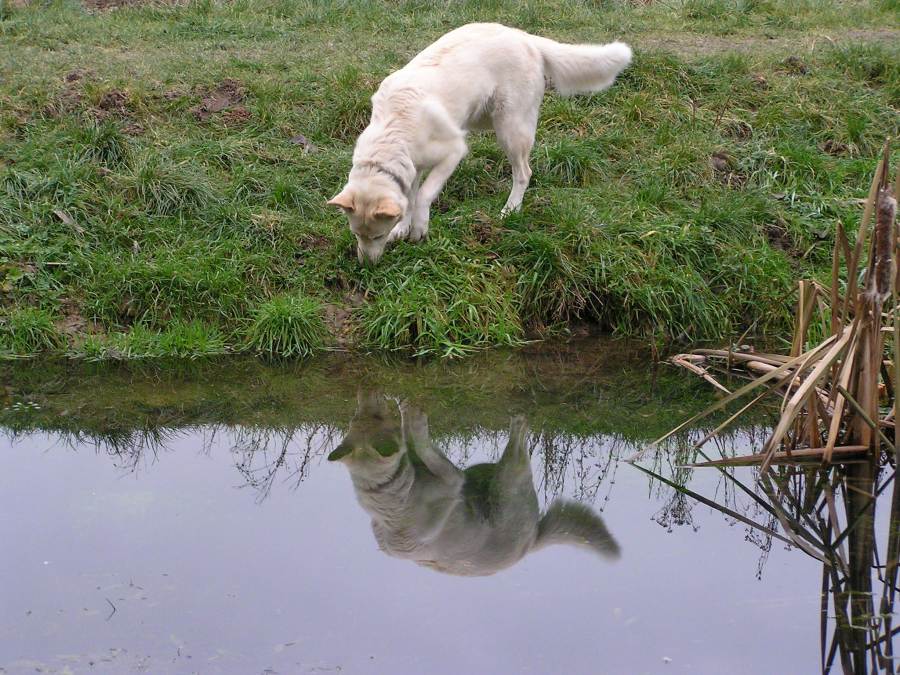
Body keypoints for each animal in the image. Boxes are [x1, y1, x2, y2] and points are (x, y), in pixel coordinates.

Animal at [326, 21, 628, 264]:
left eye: (377, 236)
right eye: (356, 234)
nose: (365, 265)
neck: (394, 130)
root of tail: (524, 37)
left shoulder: (454, 152)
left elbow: (423, 195)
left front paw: (420, 229)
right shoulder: (411, 167)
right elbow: (409, 198)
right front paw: (404, 227)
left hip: (509, 130)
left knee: (524, 173)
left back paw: (511, 209)